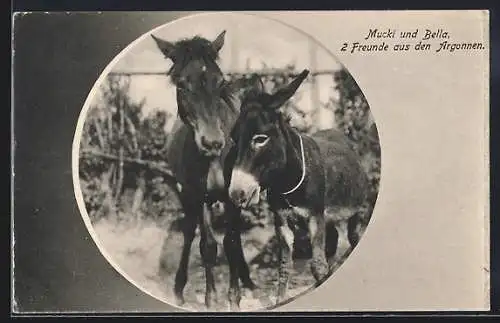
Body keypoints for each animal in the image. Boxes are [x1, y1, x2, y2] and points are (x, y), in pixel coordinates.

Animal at [150, 31, 256, 310]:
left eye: (219, 82)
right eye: (181, 85)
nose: (213, 142)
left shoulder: (233, 195)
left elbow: (231, 242)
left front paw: (234, 297)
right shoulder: (198, 196)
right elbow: (207, 246)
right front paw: (211, 299)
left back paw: (248, 281)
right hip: (188, 196)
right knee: (189, 231)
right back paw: (179, 288)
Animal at [226, 69, 368, 308]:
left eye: (260, 139)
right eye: (234, 139)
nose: (237, 193)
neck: (287, 182)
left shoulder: (315, 216)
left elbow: (317, 265)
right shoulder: (282, 221)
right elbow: (284, 268)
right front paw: (280, 300)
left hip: (354, 212)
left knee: (352, 238)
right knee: (332, 244)